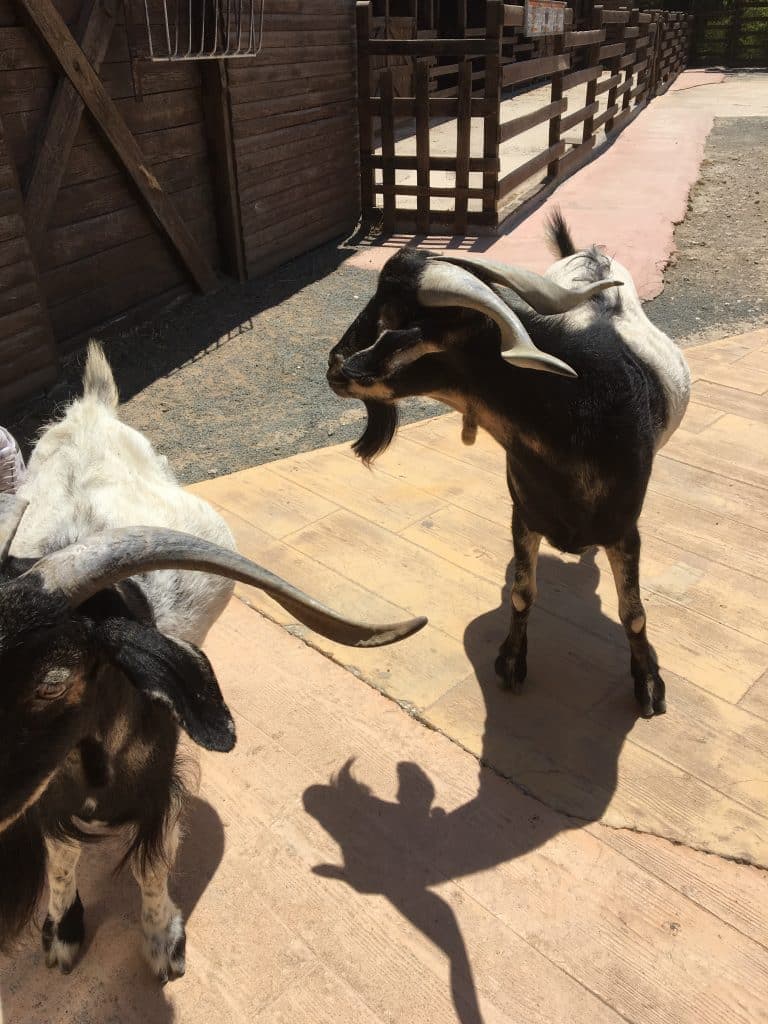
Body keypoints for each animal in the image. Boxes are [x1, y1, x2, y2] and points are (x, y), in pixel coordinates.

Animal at [0, 344, 425, 982]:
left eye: (54, 681)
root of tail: (91, 411)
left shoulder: (159, 788)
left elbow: (152, 866)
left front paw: (163, 943)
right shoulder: (46, 796)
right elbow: (62, 855)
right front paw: (63, 933)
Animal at [327, 213, 690, 718]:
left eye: (397, 324)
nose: (336, 365)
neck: (578, 415)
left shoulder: (624, 529)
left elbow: (633, 613)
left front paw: (648, 683)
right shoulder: (523, 514)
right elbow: (521, 593)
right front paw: (512, 662)